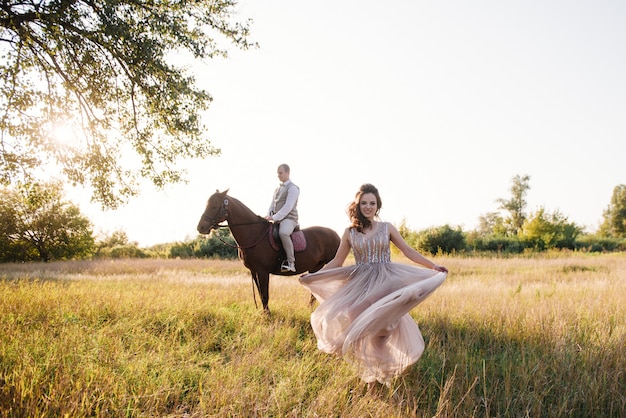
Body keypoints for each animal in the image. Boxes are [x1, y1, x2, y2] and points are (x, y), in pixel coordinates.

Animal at [196, 189, 338, 314]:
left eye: (215, 205)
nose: (200, 227)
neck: (255, 234)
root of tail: (336, 235)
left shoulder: (263, 272)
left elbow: (265, 295)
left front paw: (267, 315)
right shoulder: (254, 271)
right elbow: (260, 293)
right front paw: (264, 313)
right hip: (315, 268)